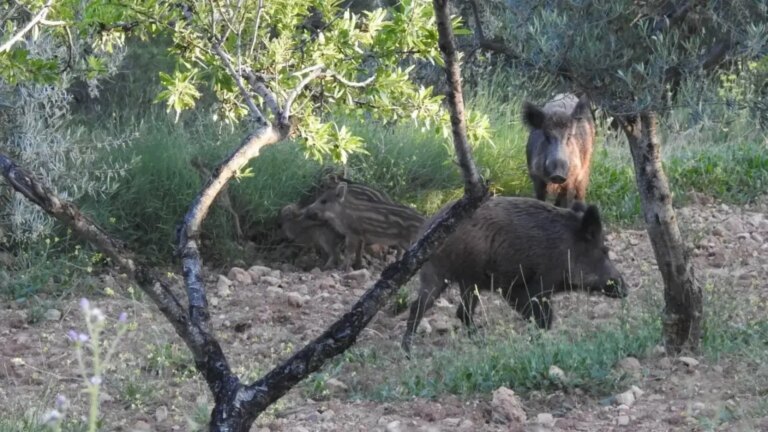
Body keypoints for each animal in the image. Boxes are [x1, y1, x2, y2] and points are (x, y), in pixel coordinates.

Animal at [400, 196, 627, 354]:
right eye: (604, 250)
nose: (625, 289)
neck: (567, 248)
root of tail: (425, 229)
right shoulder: (540, 283)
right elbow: (544, 317)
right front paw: (540, 342)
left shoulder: (513, 290)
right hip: (456, 276)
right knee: (442, 310)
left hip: (444, 277)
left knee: (440, 309)